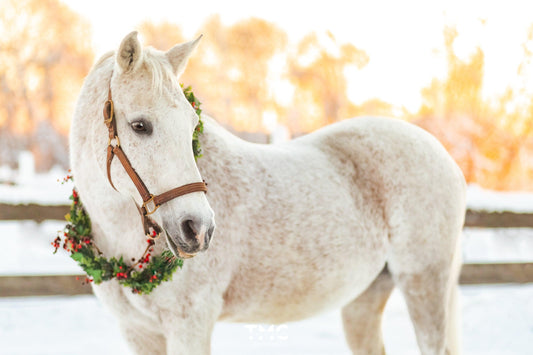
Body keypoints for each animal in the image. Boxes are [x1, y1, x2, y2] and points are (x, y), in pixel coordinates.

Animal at [71, 32, 466, 354]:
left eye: (192, 124)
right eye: (140, 125)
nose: (198, 229)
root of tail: (442, 153)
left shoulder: (190, 325)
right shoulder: (138, 331)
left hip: (425, 285)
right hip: (366, 298)